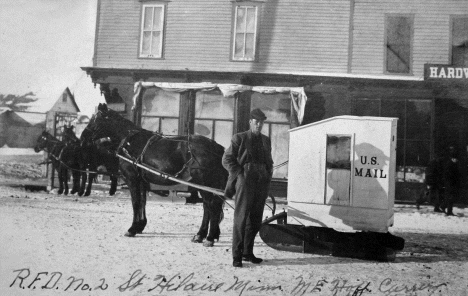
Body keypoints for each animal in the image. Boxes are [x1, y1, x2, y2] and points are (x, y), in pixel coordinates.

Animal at [88, 104, 228, 245]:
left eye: (95, 118)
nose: (86, 135)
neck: (129, 142)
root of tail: (217, 147)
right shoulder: (142, 182)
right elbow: (142, 202)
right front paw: (140, 226)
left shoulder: (132, 180)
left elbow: (136, 202)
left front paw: (132, 229)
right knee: (209, 206)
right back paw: (203, 235)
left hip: (203, 183)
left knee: (211, 206)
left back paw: (207, 237)